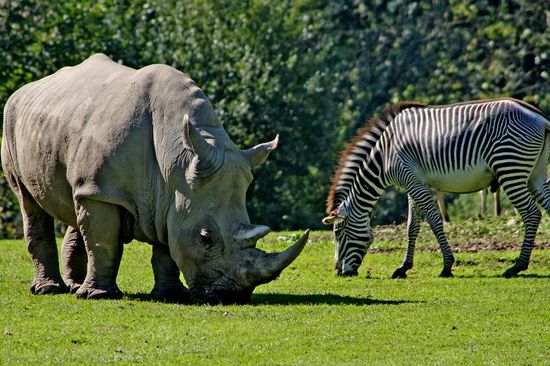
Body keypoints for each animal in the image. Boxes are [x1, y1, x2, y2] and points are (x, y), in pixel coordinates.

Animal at [324, 97, 550, 278]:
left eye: (338, 232)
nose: (339, 273)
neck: (384, 155)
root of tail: (540, 118)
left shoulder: (412, 181)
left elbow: (434, 221)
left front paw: (447, 266)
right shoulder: (413, 184)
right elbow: (412, 227)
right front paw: (403, 268)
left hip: (509, 168)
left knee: (532, 214)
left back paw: (518, 266)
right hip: (535, 175)